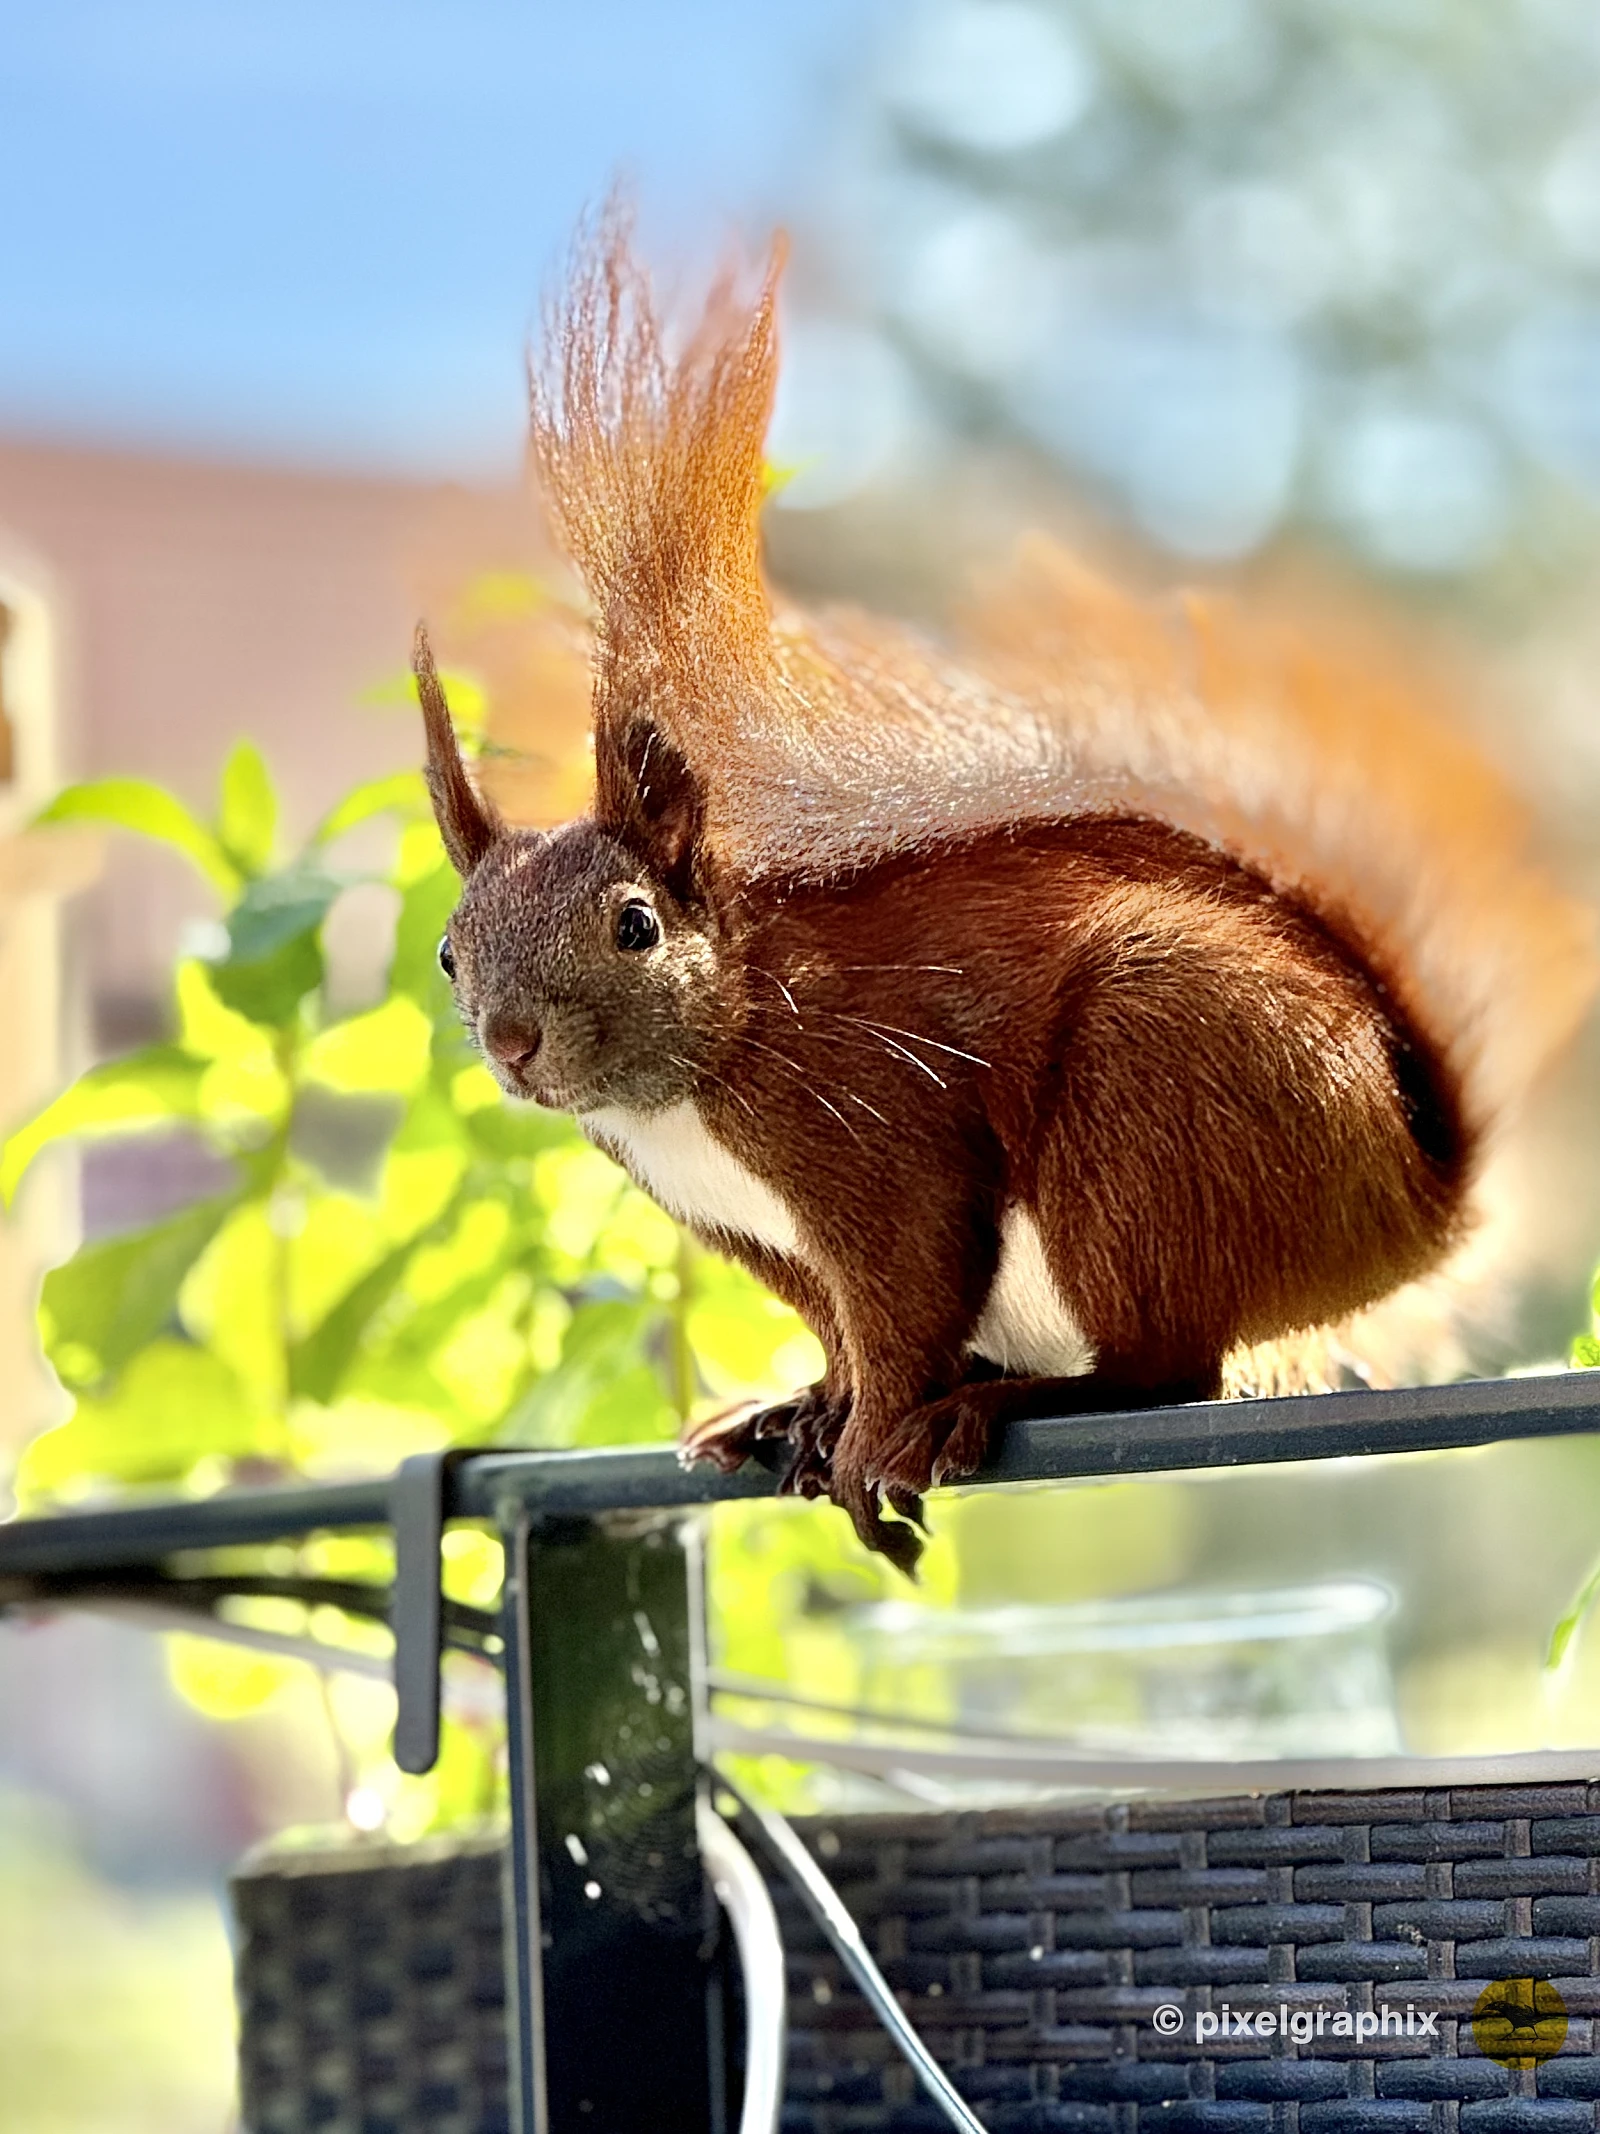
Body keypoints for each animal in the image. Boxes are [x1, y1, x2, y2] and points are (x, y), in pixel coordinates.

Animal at [415, 211, 1595, 1571]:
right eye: (448, 953)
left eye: (635, 924)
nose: (512, 1041)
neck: (699, 1078)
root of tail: (1414, 1202)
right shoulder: (761, 1234)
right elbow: (845, 1325)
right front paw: (815, 1406)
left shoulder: (869, 1123)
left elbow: (906, 1283)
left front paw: (870, 1432)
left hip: (1152, 1099)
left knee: (1165, 1369)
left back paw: (1012, 1399)